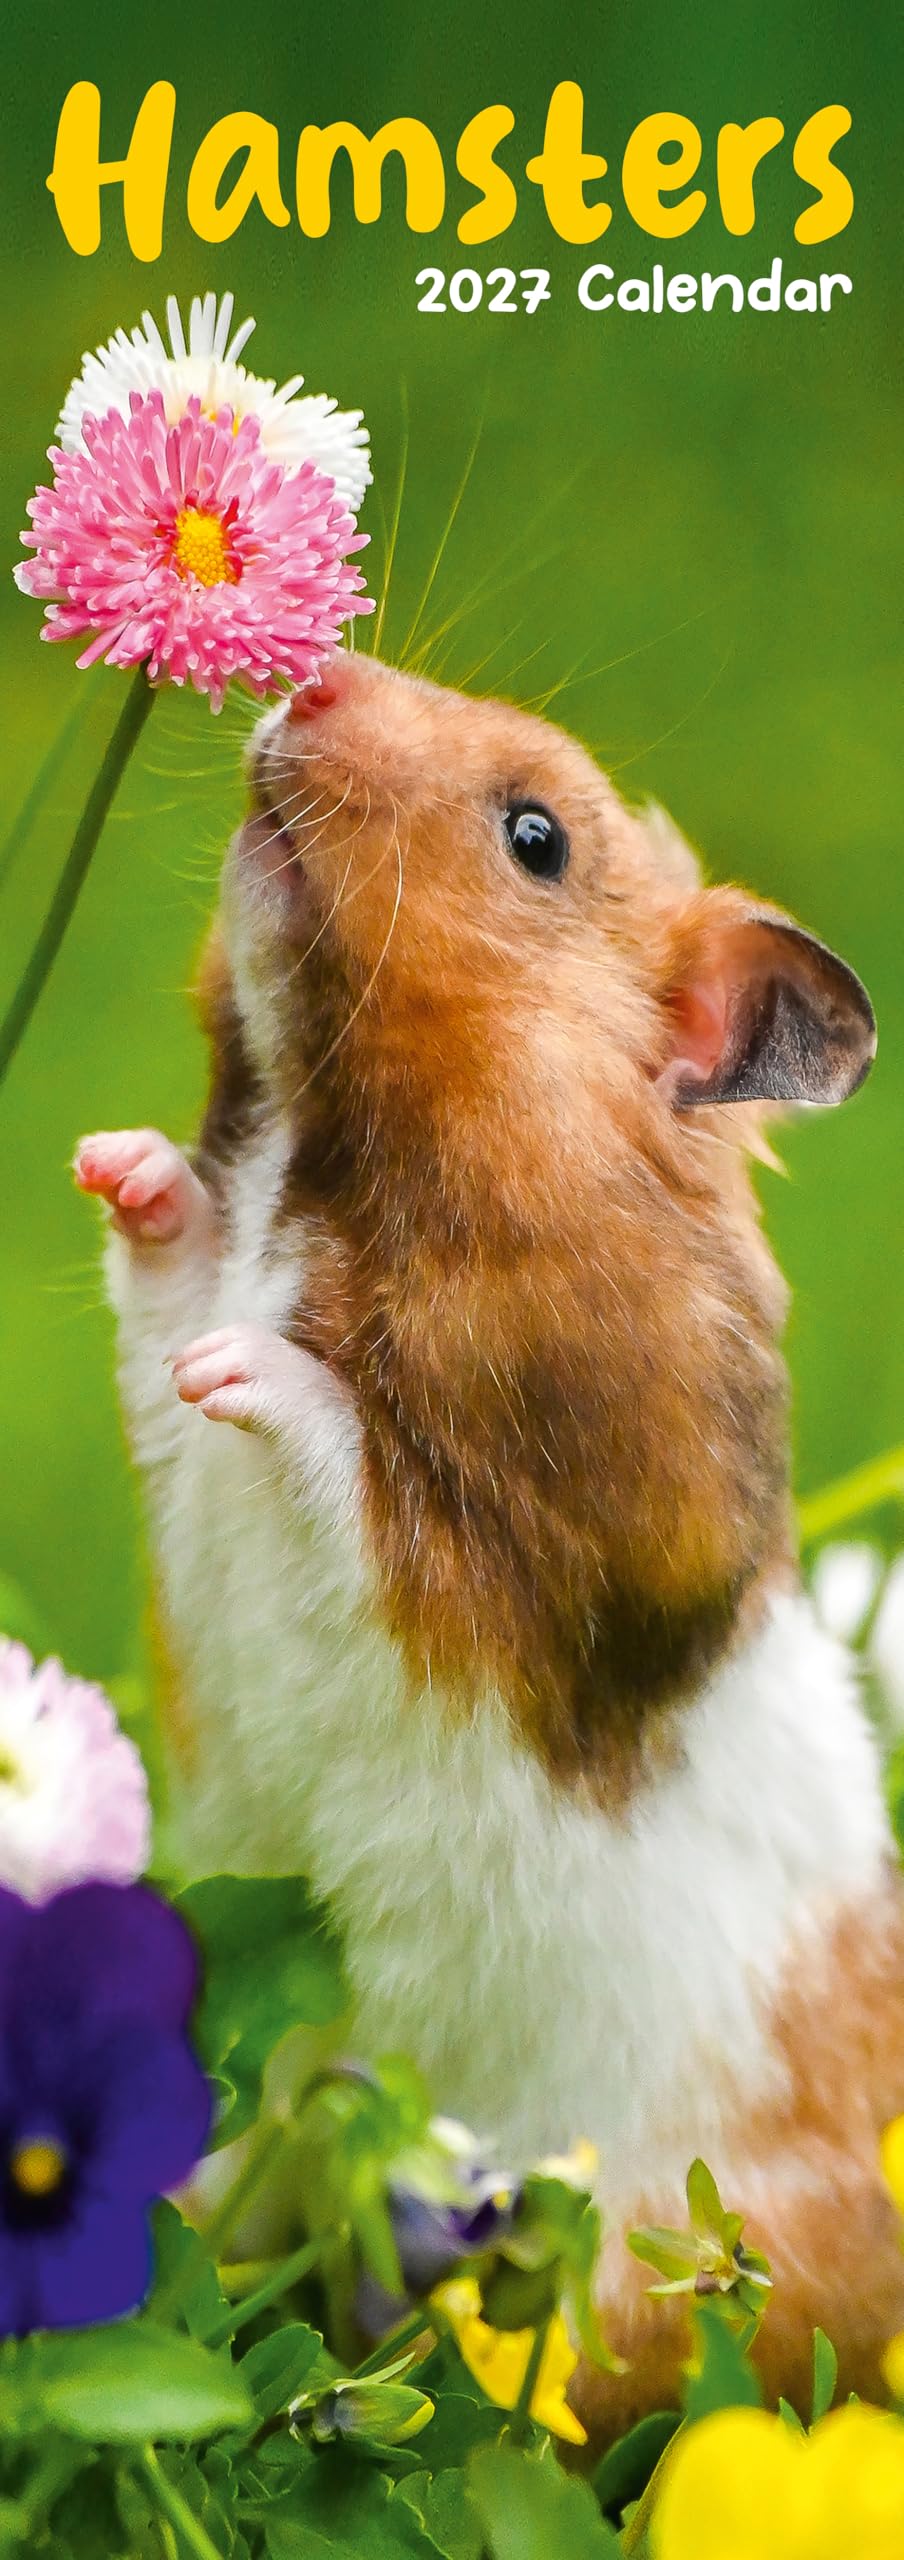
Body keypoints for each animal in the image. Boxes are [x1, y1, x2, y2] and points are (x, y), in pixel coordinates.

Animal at [75, 650, 904, 2432]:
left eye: (536, 837)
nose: (315, 672)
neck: (328, 1157)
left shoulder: (514, 1570)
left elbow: (343, 1457)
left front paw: (247, 1365)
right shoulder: (178, 1421)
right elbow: (167, 1284)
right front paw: (117, 1165)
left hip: (638, 2274)